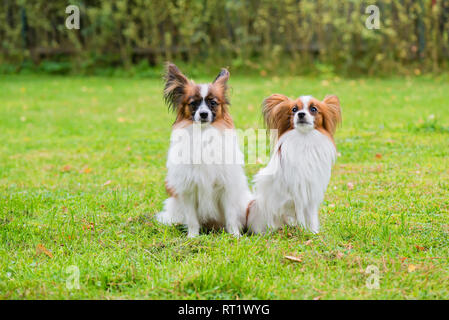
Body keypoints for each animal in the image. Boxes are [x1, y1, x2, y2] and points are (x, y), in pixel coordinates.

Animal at [156, 63, 250, 238]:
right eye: (193, 103)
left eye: (213, 103)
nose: (204, 114)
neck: (204, 134)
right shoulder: (187, 189)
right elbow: (192, 219)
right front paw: (192, 237)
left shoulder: (226, 187)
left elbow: (231, 216)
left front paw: (235, 236)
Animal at [245, 94, 340, 234]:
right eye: (294, 109)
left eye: (313, 109)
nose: (301, 114)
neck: (305, 140)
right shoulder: (298, 191)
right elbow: (300, 214)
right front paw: (303, 230)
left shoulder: (311, 191)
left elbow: (311, 215)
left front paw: (313, 232)